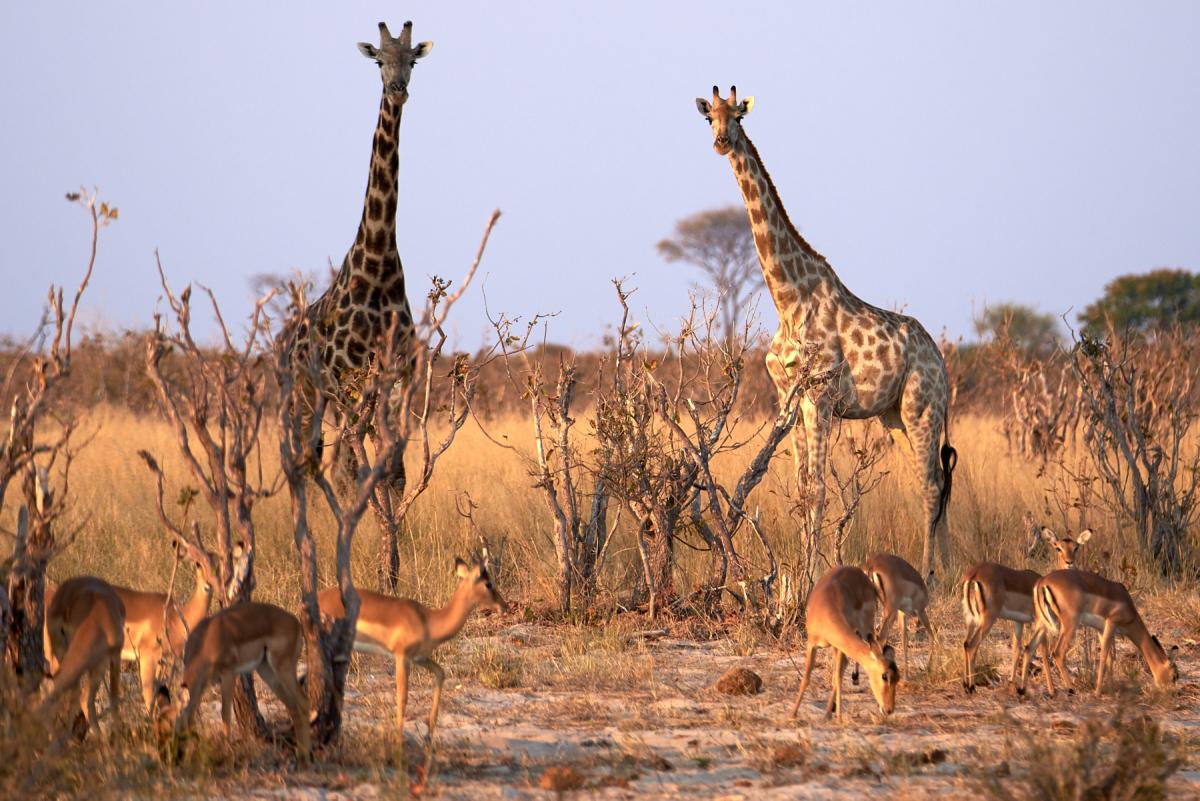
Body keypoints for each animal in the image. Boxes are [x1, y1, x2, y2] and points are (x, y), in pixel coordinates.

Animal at [298, 20, 432, 492]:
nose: (397, 90)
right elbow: (357, 470)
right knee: (311, 461)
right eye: (378, 61)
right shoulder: (346, 378)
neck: (377, 260)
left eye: (412, 61)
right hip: (306, 394)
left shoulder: (395, 375)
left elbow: (393, 471)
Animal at [694, 87, 957, 579]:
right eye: (708, 118)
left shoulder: (819, 394)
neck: (788, 298)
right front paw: (799, 571)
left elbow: (817, 489)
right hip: (893, 414)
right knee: (930, 479)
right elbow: (801, 488)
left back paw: (929, 570)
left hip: (922, 407)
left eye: (739, 116)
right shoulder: (788, 397)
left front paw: (813, 576)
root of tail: (941, 362)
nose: (721, 141)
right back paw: (943, 568)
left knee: (933, 484)